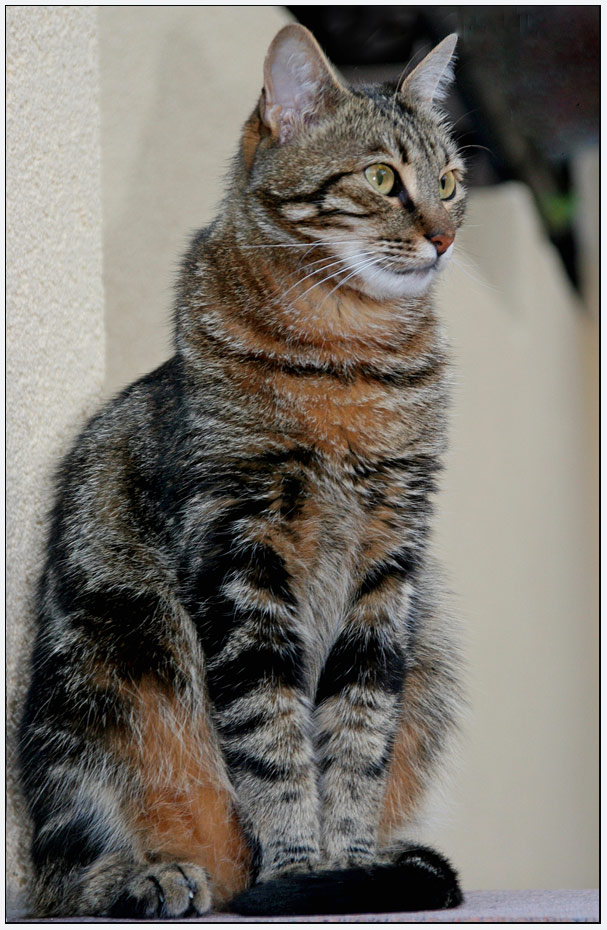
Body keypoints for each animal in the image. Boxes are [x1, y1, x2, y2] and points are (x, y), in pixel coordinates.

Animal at [19, 25, 468, 916]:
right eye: (380, 178)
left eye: (448, 181)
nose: (442, 236)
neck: (349, 359)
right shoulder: (239, 558)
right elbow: (272, 738)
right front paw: (300, 869)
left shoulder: (390, 569)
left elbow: (357, 739)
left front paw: (346, 865)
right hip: (97, 673)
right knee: (67, 868)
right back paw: (152, 876)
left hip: (428, 642)